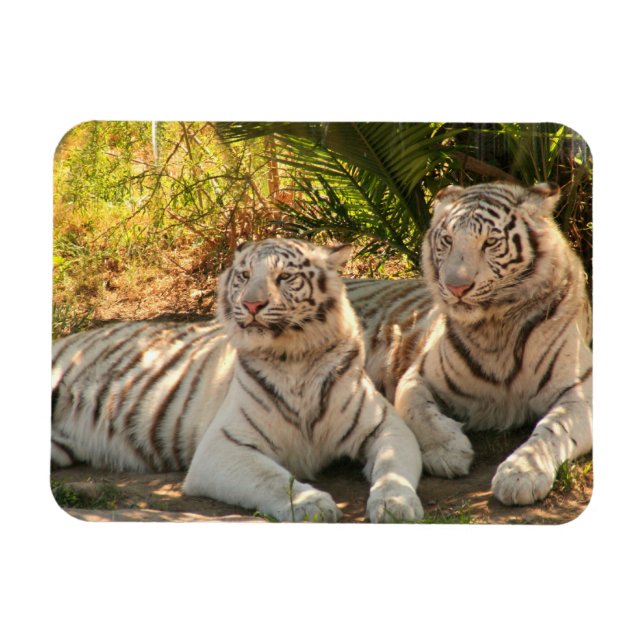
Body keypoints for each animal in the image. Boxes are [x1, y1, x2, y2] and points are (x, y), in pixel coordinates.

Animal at [51, 238, 424, 522]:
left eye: (284, 277)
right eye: (244, 275)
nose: (252, 304)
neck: (294, 358)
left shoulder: (387, 426)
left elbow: (393, 467)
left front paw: (396, 505)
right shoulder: (223, 445)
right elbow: (273, 479)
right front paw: (313, 505)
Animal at [345, 181, 592, 506]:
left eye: (490, 243)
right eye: (448, 241)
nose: (456, 287)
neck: (494, 327)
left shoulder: (580, 389)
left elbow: (553, 430)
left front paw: (521, 474)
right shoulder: (418, 375)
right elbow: (418, 411)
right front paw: (448, 451)